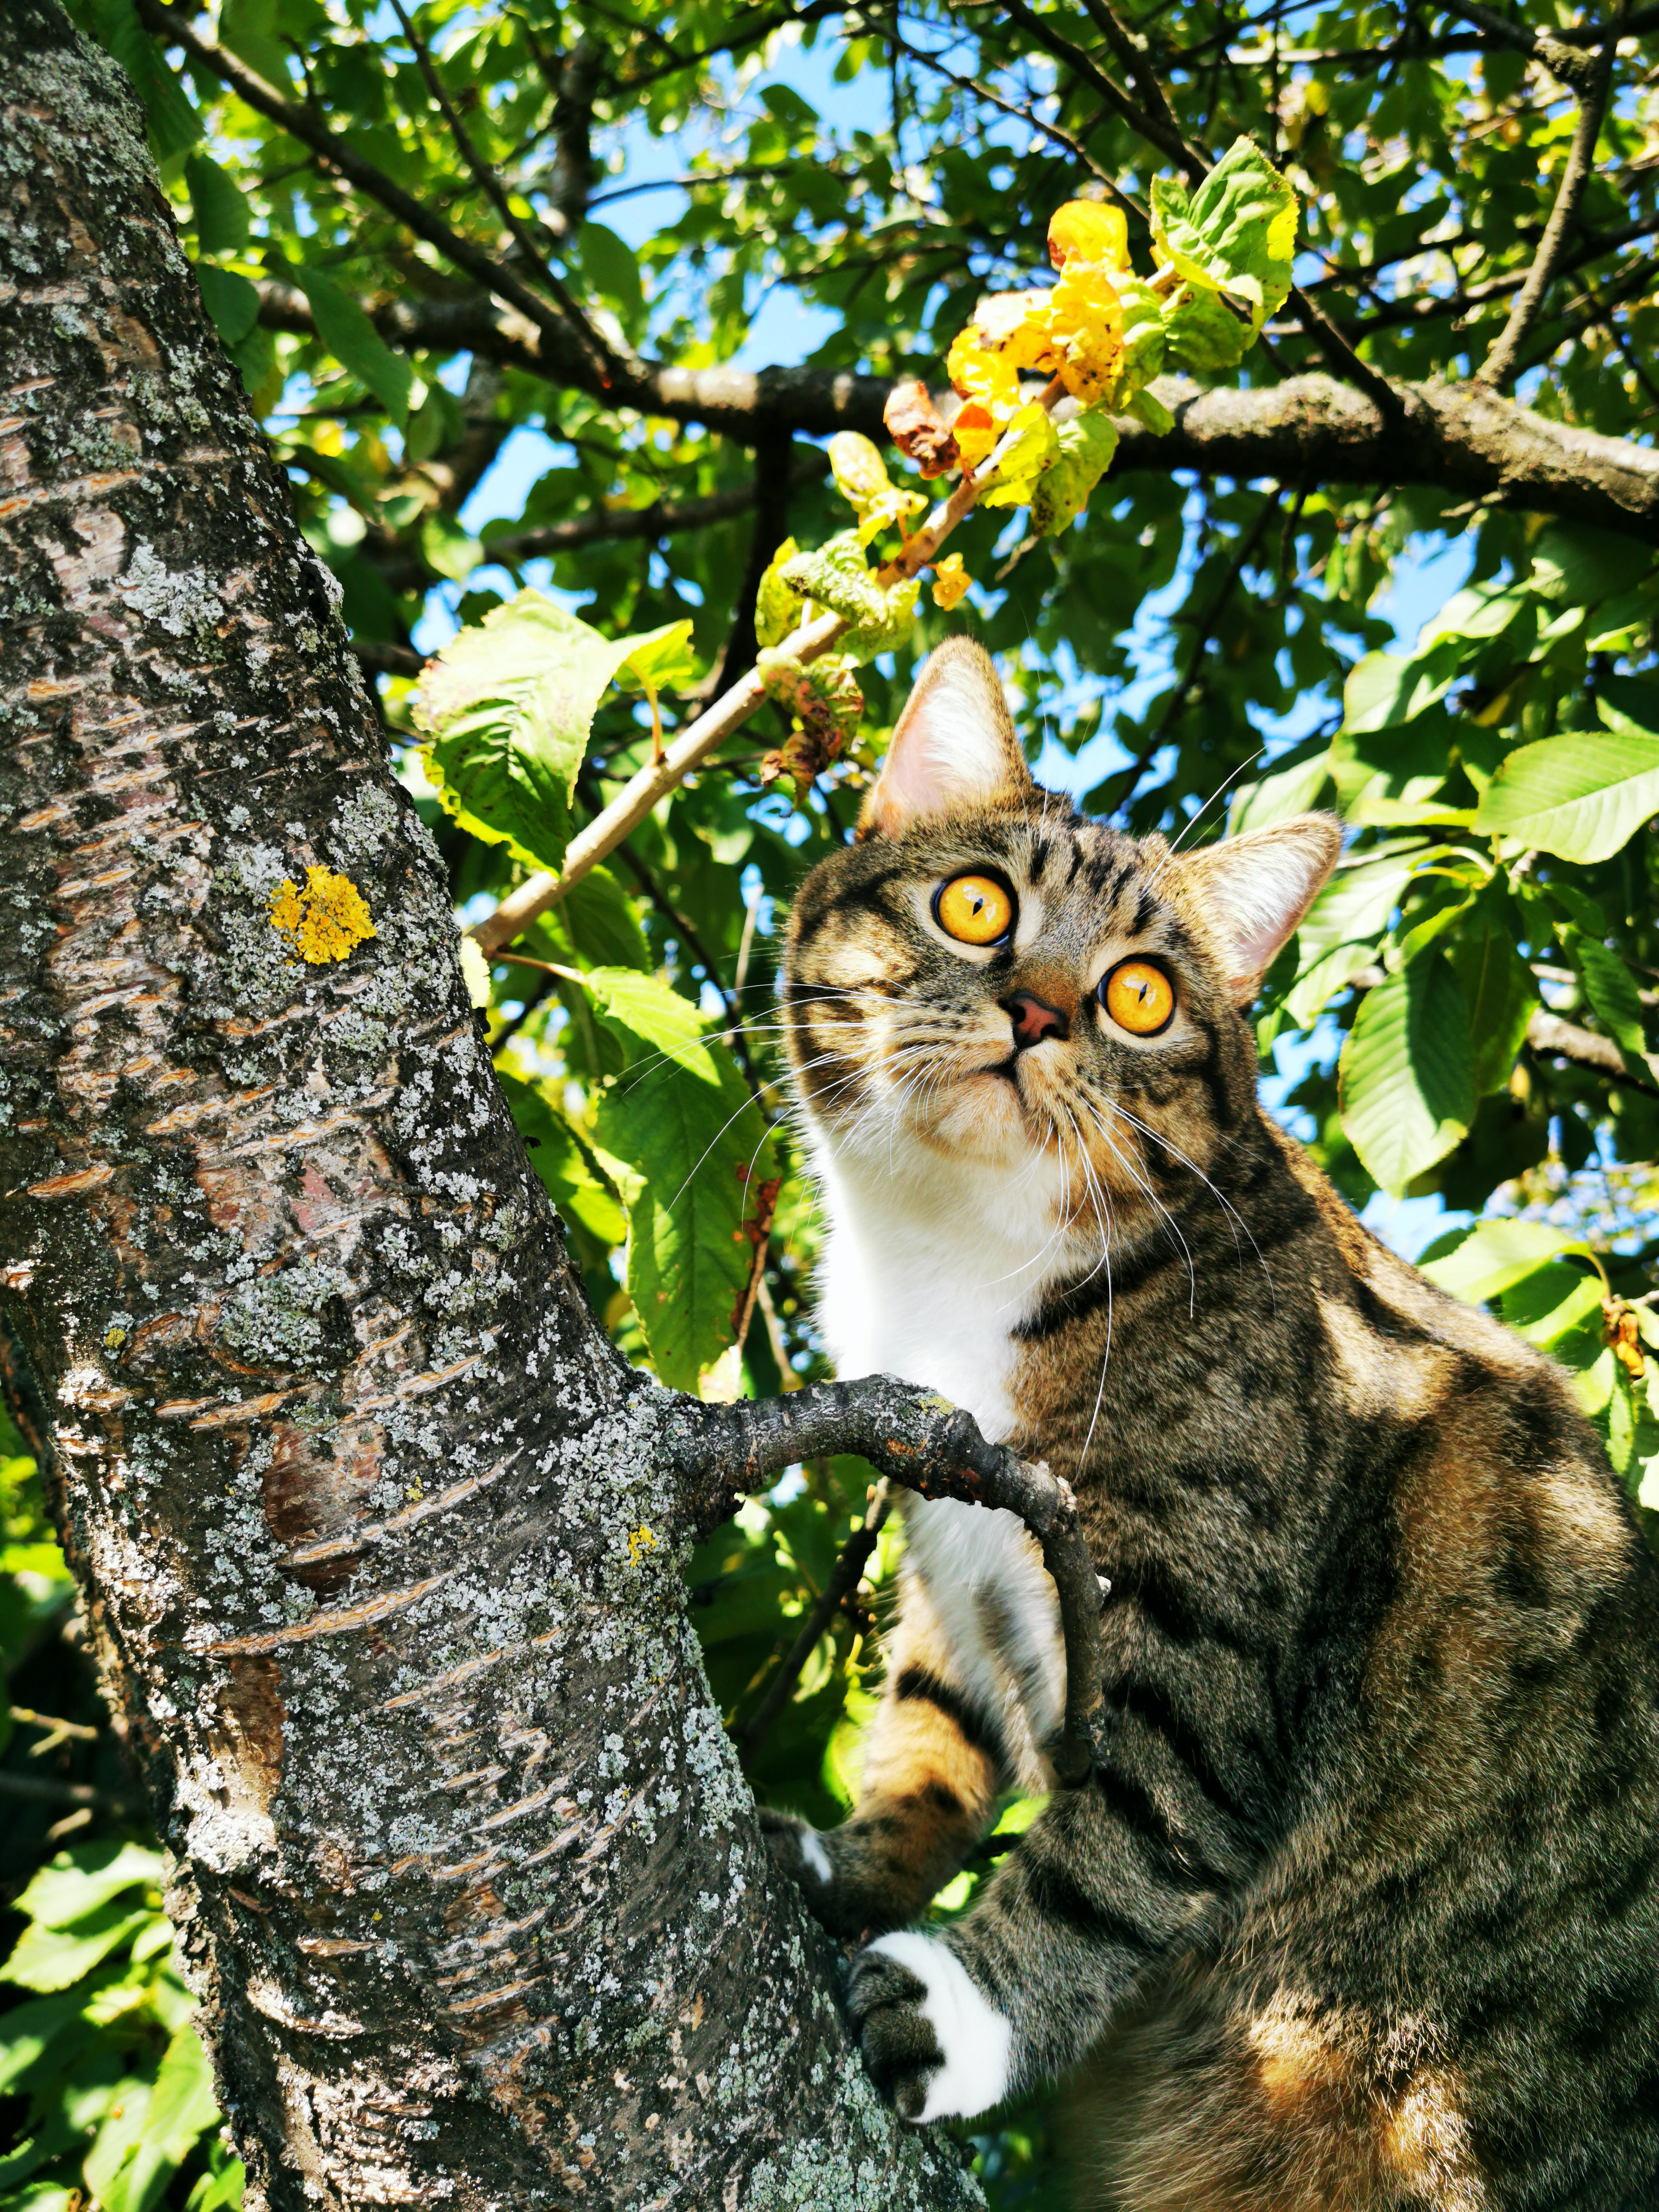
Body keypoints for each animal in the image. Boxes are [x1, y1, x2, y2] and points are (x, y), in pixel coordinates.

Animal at [765, 641, 1659, 2212]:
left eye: (1136, 995)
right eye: (976, 904)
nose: (1038, 1013)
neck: (955, 1270)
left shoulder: (1206, 1611)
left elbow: (1125, 1840)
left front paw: (963, 2003)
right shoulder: (953, 1515)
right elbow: (931, 1741)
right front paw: (850, 1868)